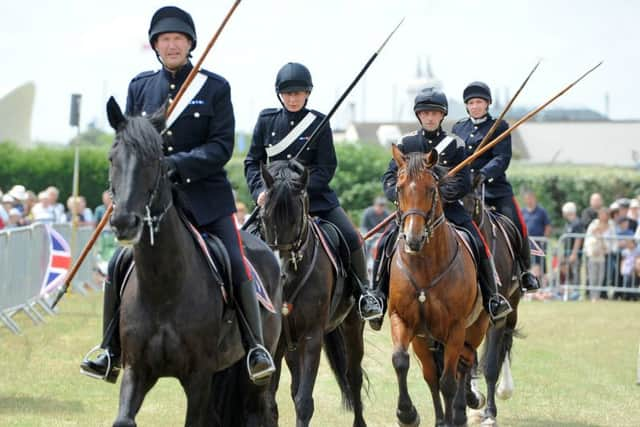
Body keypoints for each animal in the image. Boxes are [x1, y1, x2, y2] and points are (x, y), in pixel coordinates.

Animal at [258, 160, 368, 427]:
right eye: (264, 217)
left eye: (296, 218)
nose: (279, 272)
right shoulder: (276, 341)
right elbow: (270, 403)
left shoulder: (311, 336)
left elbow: (304, 401)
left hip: (352, 325)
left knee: (354, 376)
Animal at [390, 145, 490, 426]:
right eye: (399, 188)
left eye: (431, 189)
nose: (413, 239)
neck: (425, 267)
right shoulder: (404, 320)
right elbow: (401, 361)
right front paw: (407, 413)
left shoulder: (455, 329)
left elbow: (448, 382)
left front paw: (452, 416)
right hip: (425, 340)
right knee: (431, 375)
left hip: (475, 329)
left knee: (462, 367)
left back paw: (461, 410)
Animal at [462, 189, 524, 426]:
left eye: (471, 205)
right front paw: (474, 399)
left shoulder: (498, 318)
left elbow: (490, 366)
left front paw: (490, 412)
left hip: (512, 309)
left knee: (505, 344)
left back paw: (505, 388)